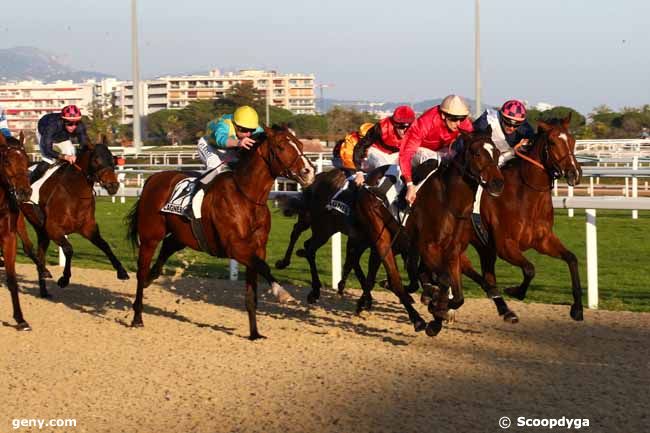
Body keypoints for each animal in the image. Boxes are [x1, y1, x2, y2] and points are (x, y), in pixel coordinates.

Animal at [18, 138, 128, 296]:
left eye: (112, 160)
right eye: (96, 160)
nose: (113, 185)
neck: (73, 192)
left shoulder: (88, 228)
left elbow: (105, 245)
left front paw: (121, 271)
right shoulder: (53, 229)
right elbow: (69, 249)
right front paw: (64, 279)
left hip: (40, 229)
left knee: (40, 253)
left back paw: (44, 288)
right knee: (28, 248)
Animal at [126, 126, 314, 340]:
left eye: (300, 145)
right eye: (281, 146)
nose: (309, 172)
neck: (246, 196)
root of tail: (152, 179)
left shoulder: (257, 248)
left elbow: (252, 291)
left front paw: (255, 333)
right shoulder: (235, 248)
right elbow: (264, 267)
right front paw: (282, 293)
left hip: (182, 235)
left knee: (168, 247)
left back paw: (150, 279)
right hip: (150, 236)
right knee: (141, 271)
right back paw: (137, 316)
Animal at [354, 130, 502, 336]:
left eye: (497, 153)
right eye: (477, 154)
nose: (498, 184)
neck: (448, 201)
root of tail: (368, 179)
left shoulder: (453, 252)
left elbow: (458, 296)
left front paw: (438, 312)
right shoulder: (427, 248)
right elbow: (444, 280)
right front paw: (435, 309)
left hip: (392, 238)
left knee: (378, 269)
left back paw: (366, 302)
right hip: (381, 237)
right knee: (396, 280)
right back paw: (416, 319)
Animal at [460, 115, 584, 320]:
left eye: (573, 141)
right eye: (552, 142)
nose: (574, 173)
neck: (525, 196)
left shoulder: (543, 240)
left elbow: (572, 259)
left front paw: (578, 308)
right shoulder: (505, 245)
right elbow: (530, 269)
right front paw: (515, 291)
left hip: (483, 247)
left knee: (483, 273)